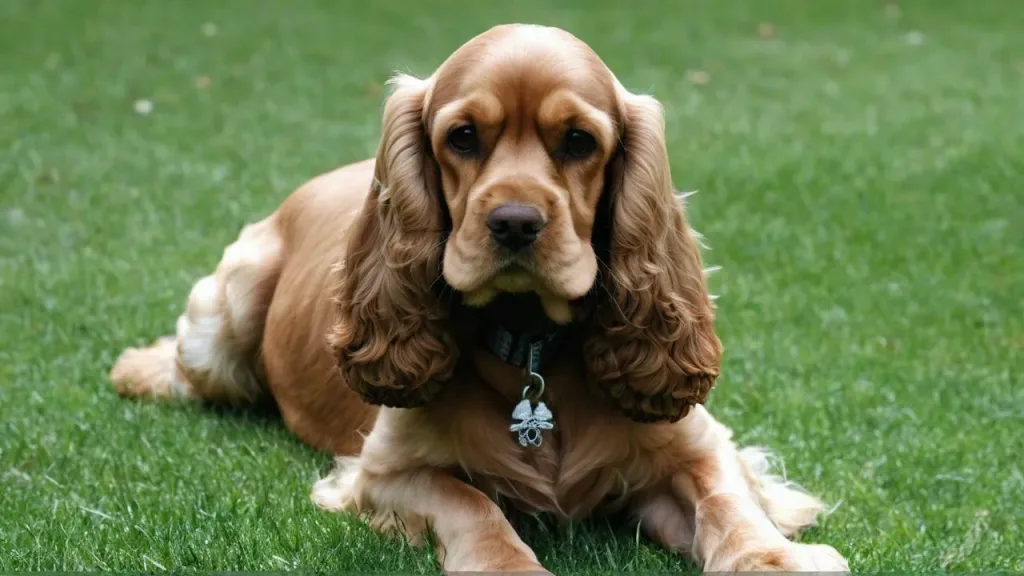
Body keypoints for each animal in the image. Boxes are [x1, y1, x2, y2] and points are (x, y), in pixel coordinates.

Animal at [110, 21, 847, 569]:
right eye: (463, 136)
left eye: (579, 141)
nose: (515, 222)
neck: (535, 349)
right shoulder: (385, 473)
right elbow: (473, 506)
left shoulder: (694, 443)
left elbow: (727, 500)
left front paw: (775, 557)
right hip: (228, 312)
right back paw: (138, 370)